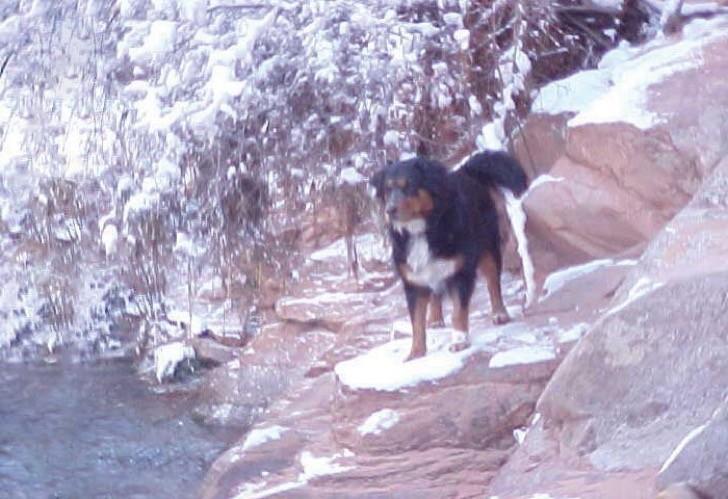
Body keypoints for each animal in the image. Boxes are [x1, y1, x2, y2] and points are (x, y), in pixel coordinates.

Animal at [372, 150, 528, 362]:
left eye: (409, 185)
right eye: (388, 189)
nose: (390, 210)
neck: (421, 230)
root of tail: (466, 170)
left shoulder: (460, 272)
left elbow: (458, 312)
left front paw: (459, 341)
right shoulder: (413, 282)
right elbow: (416, 322)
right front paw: (416, 352)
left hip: (489, 248)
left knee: (493, 283)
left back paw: (499, 313)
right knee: (435, 294)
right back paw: (435, 318)